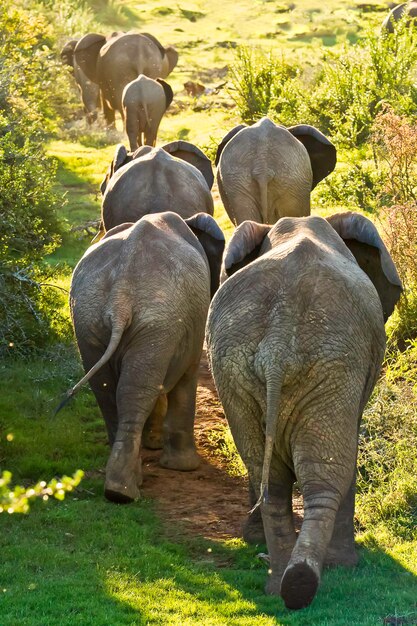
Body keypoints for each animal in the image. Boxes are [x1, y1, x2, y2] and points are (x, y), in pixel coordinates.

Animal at [206, 212, 402, 608]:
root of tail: (278, 345)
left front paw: (253, 541)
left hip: (235, 368)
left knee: (269, 478)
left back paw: (283, 584)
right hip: (332, 369)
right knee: (325, 476)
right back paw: (313, 578)